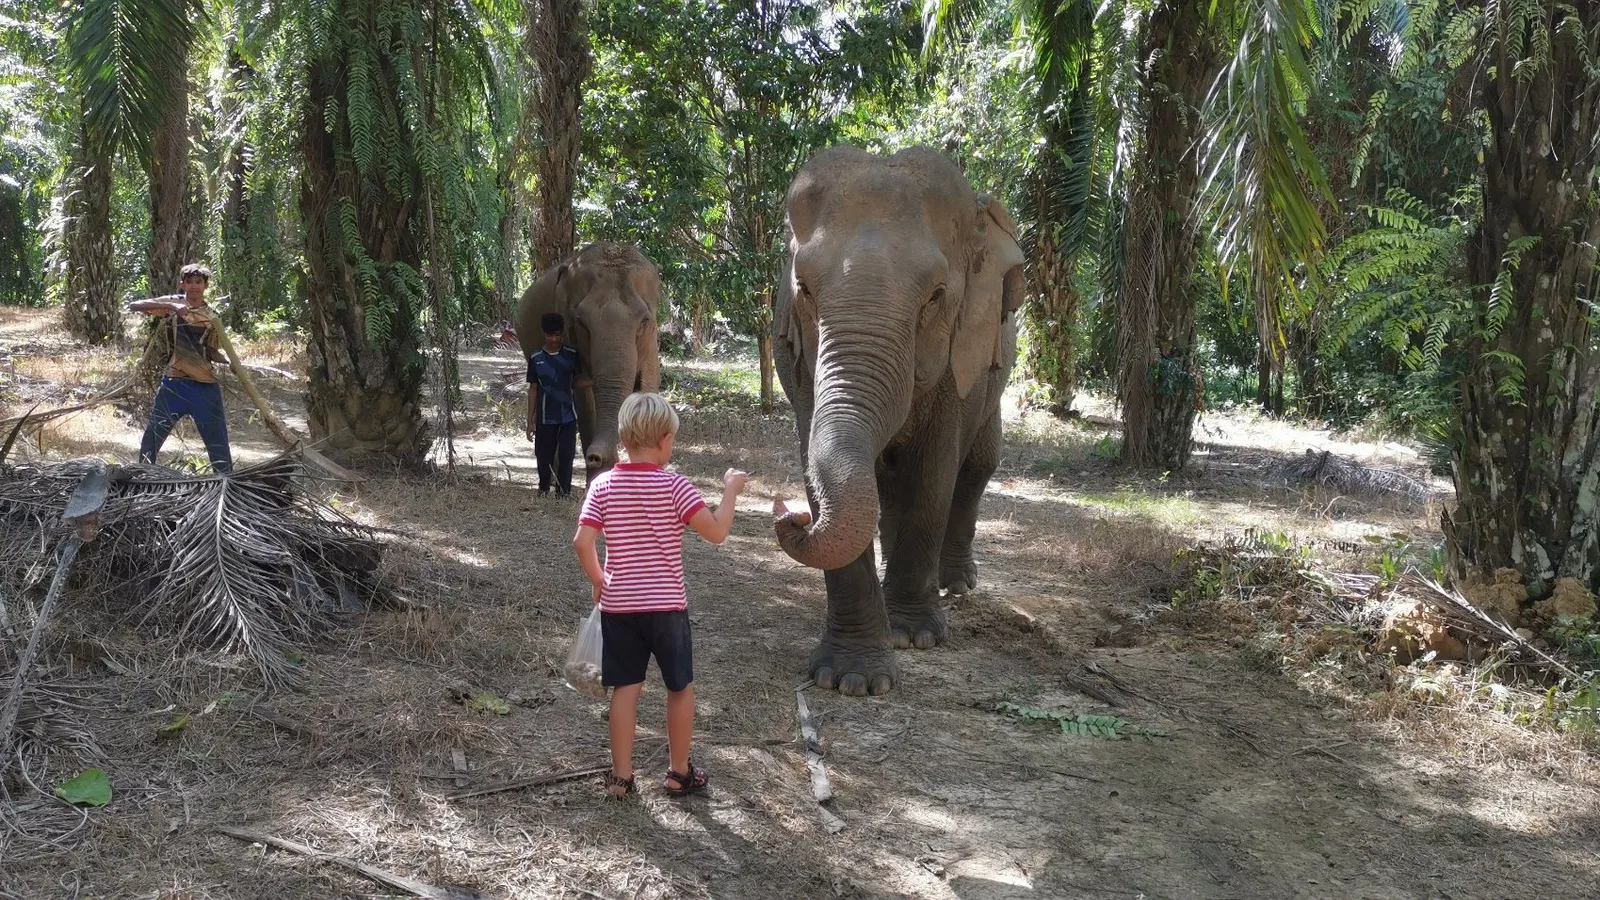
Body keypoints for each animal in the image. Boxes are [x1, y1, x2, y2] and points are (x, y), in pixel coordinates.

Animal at [514, 242, 663, 479]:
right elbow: (582, 396)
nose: (594, 457)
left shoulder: (651, 343)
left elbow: (648, 385)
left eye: (644, 321)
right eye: (581, 323)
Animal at [772, 146, 1025, 697]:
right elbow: (814, 455)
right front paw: (850, 678)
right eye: (803, 288)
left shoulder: (960, 359)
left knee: (977, 467)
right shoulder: (795, 363)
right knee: (887, 485)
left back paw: (956, 585)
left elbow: (933, 474)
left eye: (936, 295)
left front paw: (915, 636)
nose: (790, 515)